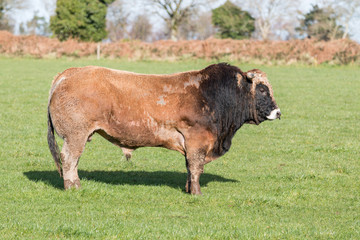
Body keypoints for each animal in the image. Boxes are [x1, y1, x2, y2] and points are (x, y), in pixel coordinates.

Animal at [47, 63, 282, 195]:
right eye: (262, 89)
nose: (278, 112)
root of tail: (69, 73)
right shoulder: (197, 140)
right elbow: (196, 167)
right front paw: (196, 193)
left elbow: (189, 168)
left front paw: (189, 188)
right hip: (75, 136)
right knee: (69, 159)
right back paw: (73, 187)